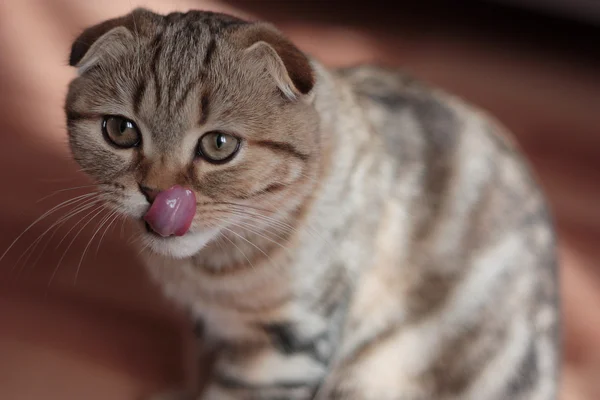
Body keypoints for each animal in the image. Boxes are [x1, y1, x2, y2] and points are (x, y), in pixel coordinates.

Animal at [64, 7, 556, 400]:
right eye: (120, 130)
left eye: (219, 145)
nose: (155, 192)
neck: (211, 272)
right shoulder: (205, 329)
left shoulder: (287, 347)